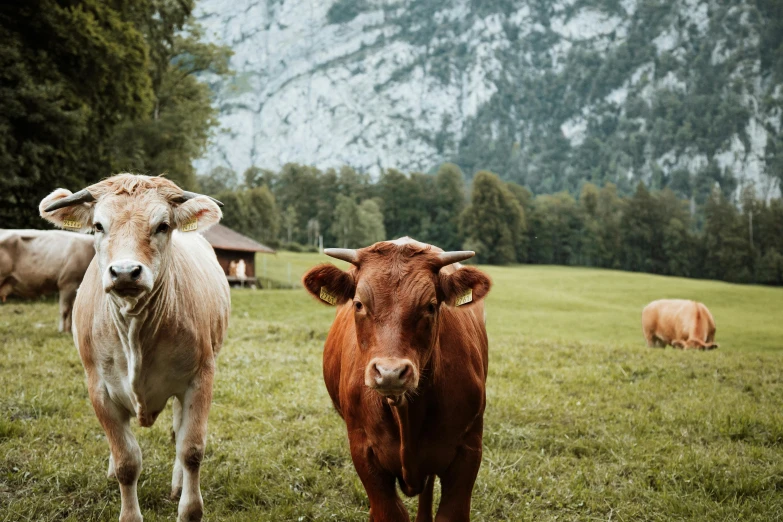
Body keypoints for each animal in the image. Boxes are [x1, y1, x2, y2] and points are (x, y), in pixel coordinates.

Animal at [39, 175, 230, 520]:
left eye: (163, 226)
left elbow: (191, 449)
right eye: (98, 226)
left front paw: (189, 508)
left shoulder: (200, 378)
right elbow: (127, 461)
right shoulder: (99, 388)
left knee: (178, 433)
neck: (135, 328)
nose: (126, 272)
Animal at [304, 237, 494, 520]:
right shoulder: (363, 452)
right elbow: (388, 511)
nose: (390, 373)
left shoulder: (469, 450)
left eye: (430, 306)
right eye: (359, 304)